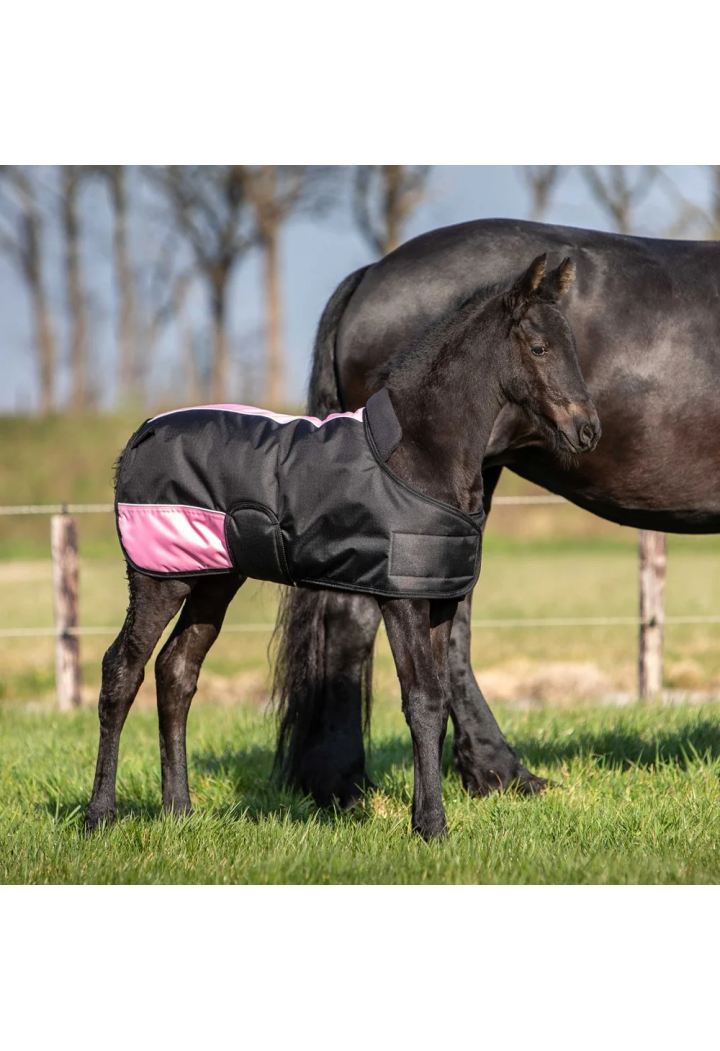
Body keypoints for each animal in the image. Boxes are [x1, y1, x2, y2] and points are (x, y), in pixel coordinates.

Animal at [85, 254, 600, 839]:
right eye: (538, 348)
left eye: (572, 345)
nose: (587, 431)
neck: (416, 454)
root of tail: (138, 439)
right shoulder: (402, 599)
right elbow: (422, 701)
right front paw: (431, 825)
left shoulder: (439, 599)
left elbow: (440, 701)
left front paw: (428, 817)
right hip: (157, 577)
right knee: (121, 670)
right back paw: (100, 815)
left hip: (214, 581)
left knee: (176, 672)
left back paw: (179, 811)